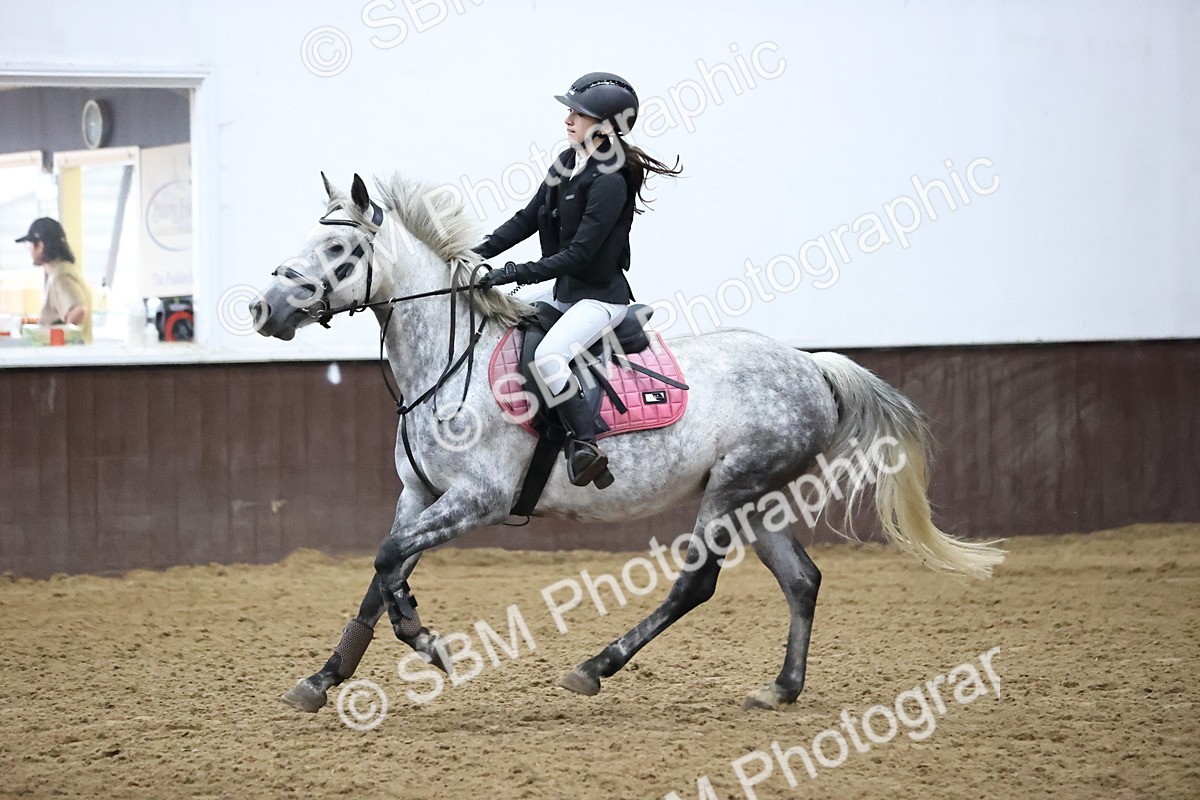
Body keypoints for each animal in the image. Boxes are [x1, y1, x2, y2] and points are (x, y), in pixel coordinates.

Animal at [252, 172, 1005, 714]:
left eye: (339, 250)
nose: (264, 308)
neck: (446, 357)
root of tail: (811, 363)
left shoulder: (477, 500)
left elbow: (388, 563)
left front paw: (429, 643)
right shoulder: (419, 493)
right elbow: (380, 576)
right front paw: (323, 679)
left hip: (731, 490)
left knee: (696, 584)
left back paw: (595, 668)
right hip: (757, 499)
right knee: (802, 580)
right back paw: (780, 688)